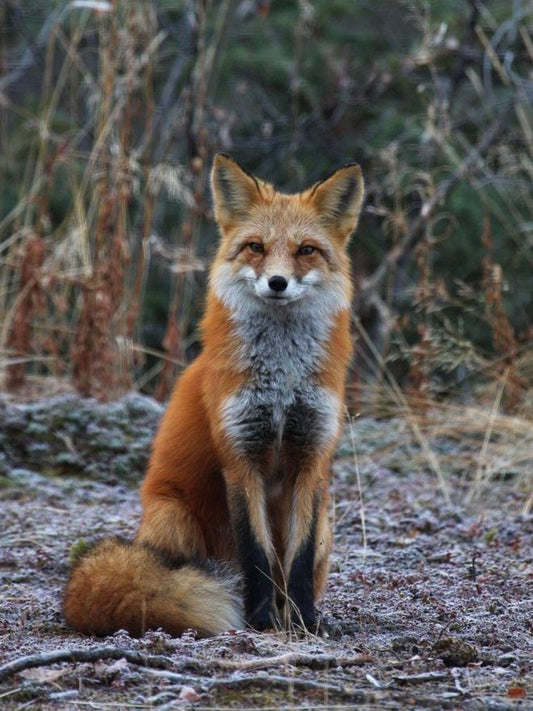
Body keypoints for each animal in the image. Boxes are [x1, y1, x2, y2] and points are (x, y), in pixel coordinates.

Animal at [63, 153, 365, 637]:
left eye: (306, 250)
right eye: (256, 247)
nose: (277, 282)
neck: (281, 384)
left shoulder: (312, 458)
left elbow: (294, 560)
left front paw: (303, 622)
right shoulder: (239, 456)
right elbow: (257, 553)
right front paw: (260, 621)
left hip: (326, 529)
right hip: (174, 517)